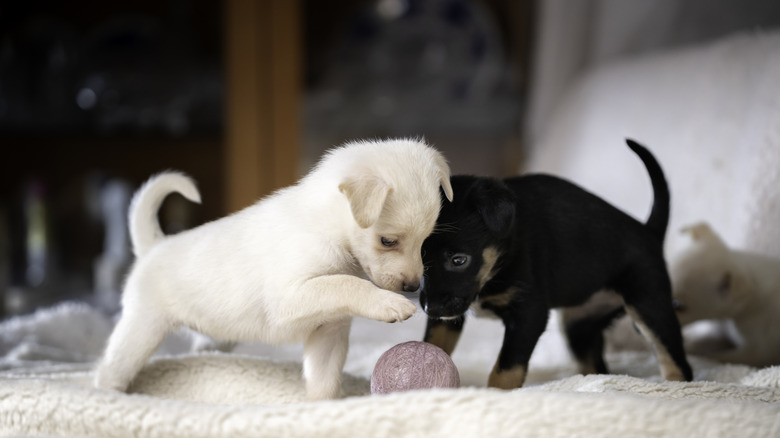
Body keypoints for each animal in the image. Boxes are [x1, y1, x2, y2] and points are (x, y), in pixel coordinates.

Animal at [94, 139, 454, 400]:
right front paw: (389, 304)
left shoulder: (329, 331)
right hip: (141, 329)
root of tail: (154, 246)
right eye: (388, 241)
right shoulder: (289, 297)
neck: (327, 227)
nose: (413, 287)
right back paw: (108, 397)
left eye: (425, 241)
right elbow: (348, 284)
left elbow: (324, 380)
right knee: (108, 370)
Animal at [420, 139, 696, 388]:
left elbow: (506, 369)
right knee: (597, 365)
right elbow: (433, 343)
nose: (430, 308)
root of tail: (648, 231)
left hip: (649, 305)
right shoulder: (447, 318)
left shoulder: (529, 313)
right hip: (579, 326)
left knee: (676, 361)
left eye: (459, 260)